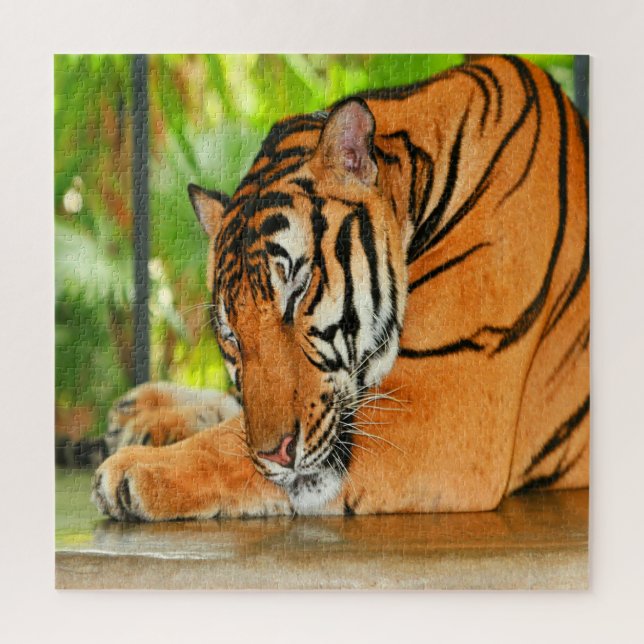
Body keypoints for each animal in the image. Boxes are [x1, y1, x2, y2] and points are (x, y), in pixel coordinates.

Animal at [92, 55, 589, 521]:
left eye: (298, 289)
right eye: (231, 335)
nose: (277, 454)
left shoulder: (443, 412)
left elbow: (231, 443)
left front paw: (135, 469)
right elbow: (239, 417)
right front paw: (150, 417)